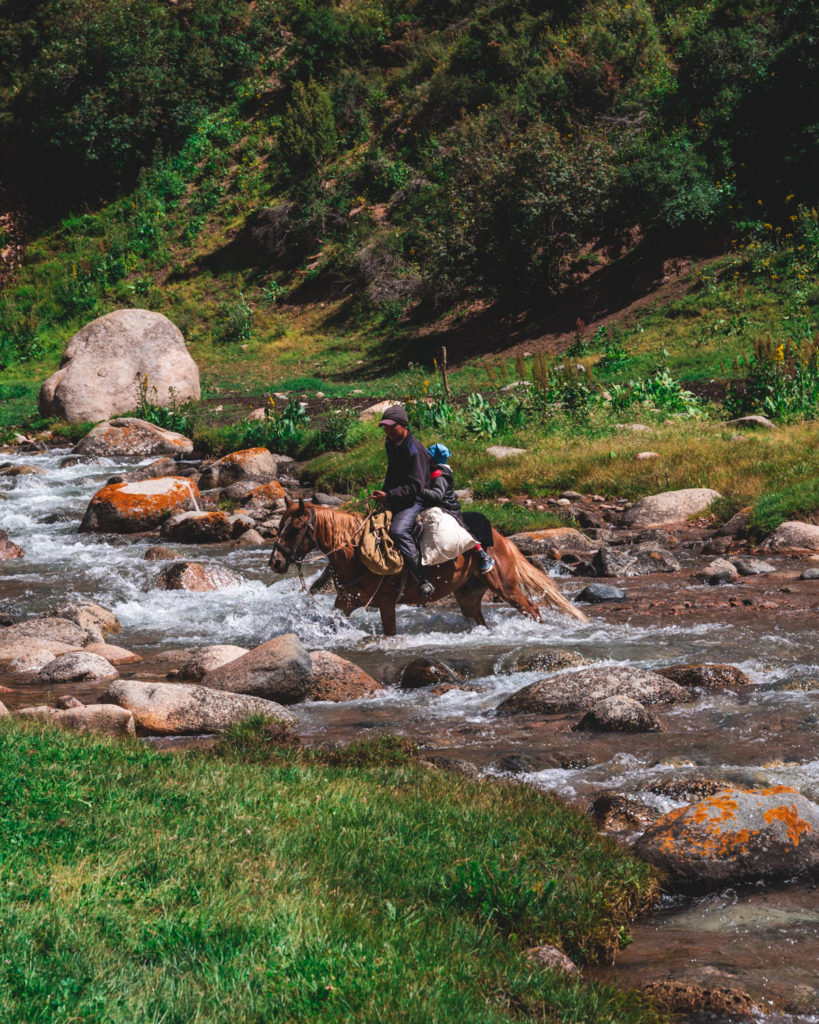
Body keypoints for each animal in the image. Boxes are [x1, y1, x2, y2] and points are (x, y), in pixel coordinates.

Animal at [270, 499, 589, 634]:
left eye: (295, 529)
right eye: (279, 525)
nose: (276, 562)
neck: (356, 553)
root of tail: (500, 539)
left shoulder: (386, 602)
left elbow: (390, 632)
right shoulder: (346, 601)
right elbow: (333, 622)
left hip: (505, 587)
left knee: (533, 609)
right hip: (468, 594)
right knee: (478, 617)